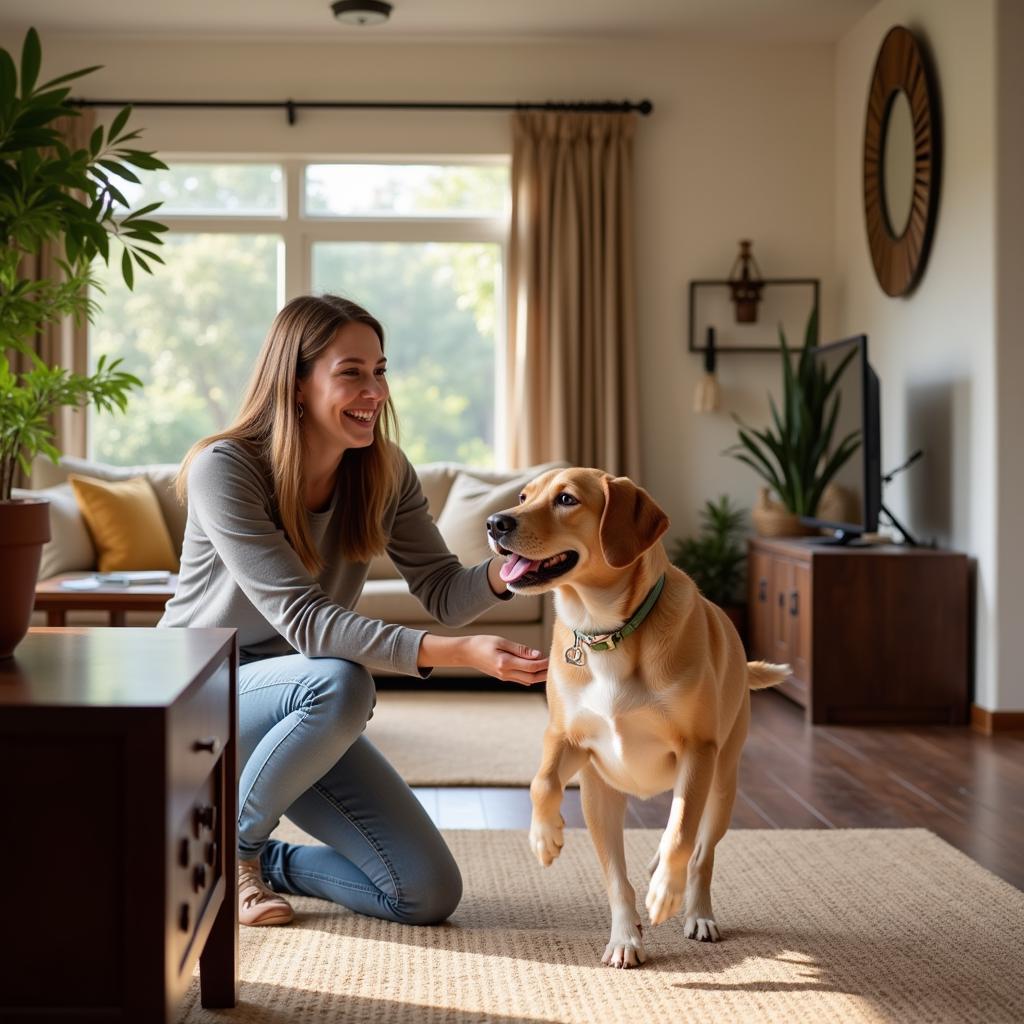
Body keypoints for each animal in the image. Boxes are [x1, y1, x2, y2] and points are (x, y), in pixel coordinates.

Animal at [483, 468, 786, 966]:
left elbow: (681, 835)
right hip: (604, 794)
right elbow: (543, 784)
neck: (608, 632)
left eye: (566, 499)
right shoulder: (568, 740)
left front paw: (665, 892)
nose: (494, 523)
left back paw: (696, 910)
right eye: (523, 496)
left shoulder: (697, 751)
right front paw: (547, 839)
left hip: (721, 782)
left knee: (701, 850)